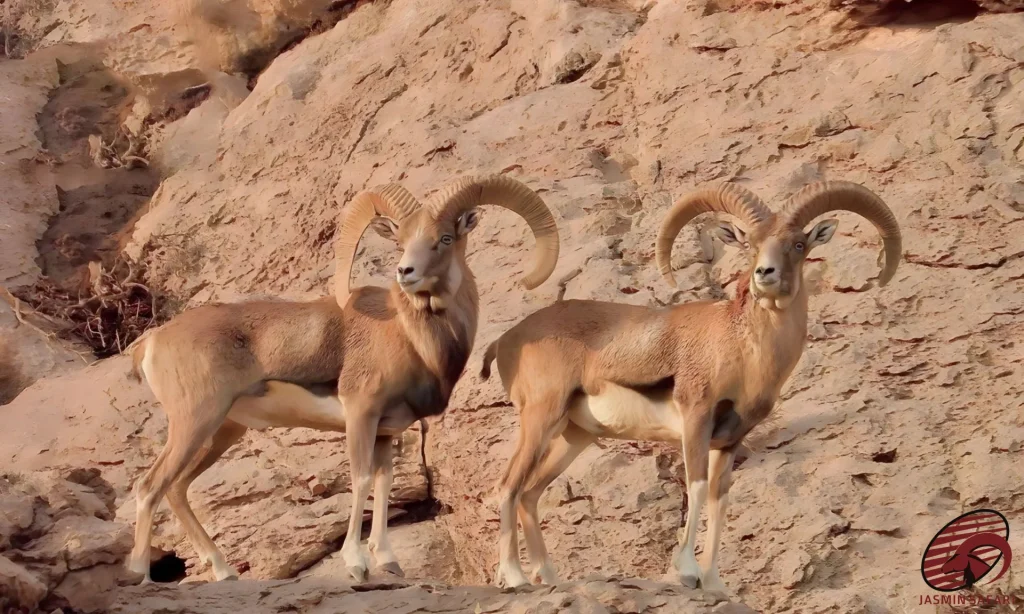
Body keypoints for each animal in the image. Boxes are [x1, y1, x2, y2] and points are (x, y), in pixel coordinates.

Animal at [124, 174, 560, 584]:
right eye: (400, 240)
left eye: (445, 238)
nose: (405, 272)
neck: (407, 336)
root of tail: (151, 342)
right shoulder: (360, 415)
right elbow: (361, 479)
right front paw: (357, 565)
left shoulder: (386, 431)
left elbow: (384, 483)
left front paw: (388, 563)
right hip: (195, 421)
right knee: (149, 487)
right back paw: (141, 573)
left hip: (222, 431)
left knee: (176, 489)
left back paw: (224, 571)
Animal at [479, 180, 902, 591]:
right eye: (750, 244)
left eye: (798, 244)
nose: (764, 274)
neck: (742, 350)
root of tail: (508, 341)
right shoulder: (696, 421)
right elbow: (696, 488)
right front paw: (686, 572)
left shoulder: (728, 443)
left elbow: (719, 502)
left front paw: (713, 583)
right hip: (540, 418)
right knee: (508, 485)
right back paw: (514, 577)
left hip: (572, 436)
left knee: (530, 493)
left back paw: (548, 578)